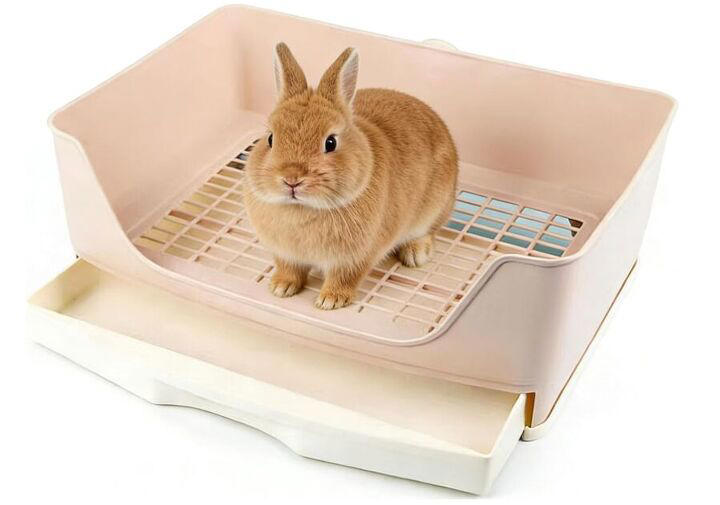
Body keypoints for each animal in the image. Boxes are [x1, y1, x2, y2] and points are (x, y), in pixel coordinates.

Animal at [243, 42, 458, 310]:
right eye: (271, 139)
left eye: (331, 142)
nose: (292, 178)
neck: (303, 209)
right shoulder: (286, 255)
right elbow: (289, 269)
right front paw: (281, 287)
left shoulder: (355, 257)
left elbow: (345, 277)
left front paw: (330, 301)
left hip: (435, 208)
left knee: (429, 230)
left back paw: (415, 254)